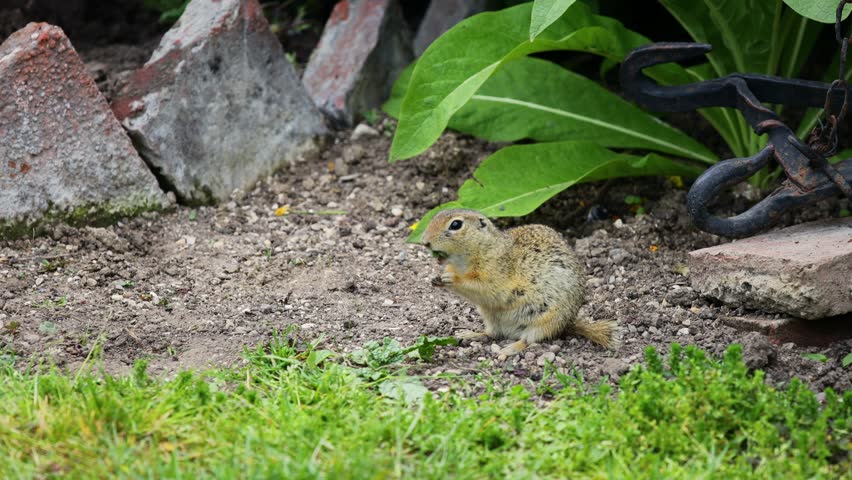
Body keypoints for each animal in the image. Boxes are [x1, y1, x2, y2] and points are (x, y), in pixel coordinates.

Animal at [421, 208, 619, 359]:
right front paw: (438, 278)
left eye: (455, 225)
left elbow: (481, 288)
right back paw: (470, 334)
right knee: (491, 333)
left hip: (546, 321)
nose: (424, 242)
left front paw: (451, 280)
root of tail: (567, 325)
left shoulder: (494, 274)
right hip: (490, 316)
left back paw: (509, 349)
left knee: (528, 340)